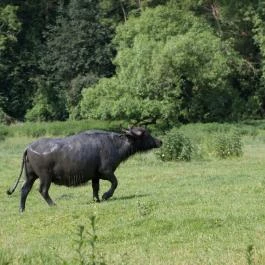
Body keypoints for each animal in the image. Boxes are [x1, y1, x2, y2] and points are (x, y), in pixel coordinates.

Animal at [6, 127, 161, 211]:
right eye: (145, 133)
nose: (160, 141)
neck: (115, 144)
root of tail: (29, 147)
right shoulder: (106, 171)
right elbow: (115, 182)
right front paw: (106, 195)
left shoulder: (95, 176)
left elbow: (95, 188)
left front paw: (96, 199)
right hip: (45, 176)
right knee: (43, 190)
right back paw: (53, 204)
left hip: (30, 175)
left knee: (24, 190)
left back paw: (22, 209)